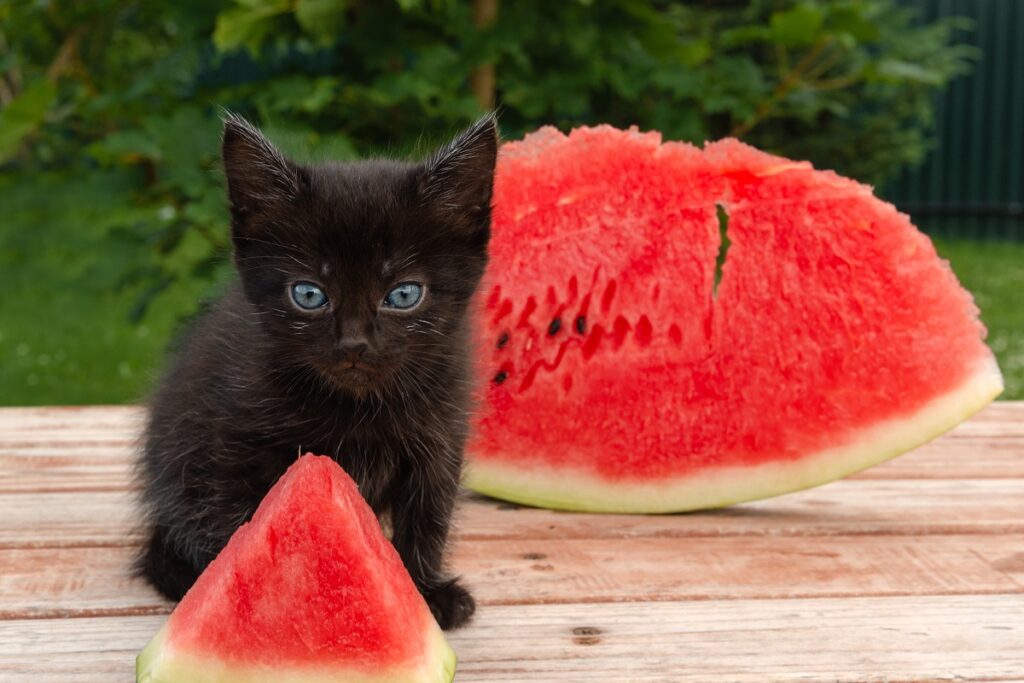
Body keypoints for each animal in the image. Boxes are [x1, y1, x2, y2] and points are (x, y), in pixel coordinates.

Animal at [137, 112, 499, 630]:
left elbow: (429, 513)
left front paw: (423, 591)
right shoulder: (232, 445)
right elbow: (241, 523)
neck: (359, 409)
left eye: (404, 294)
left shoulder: (440, 434)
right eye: (309, 294)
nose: (354, 343)